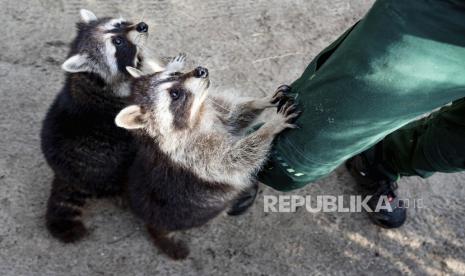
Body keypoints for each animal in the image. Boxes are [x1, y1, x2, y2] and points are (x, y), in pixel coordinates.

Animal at [40, 8, 163, 243]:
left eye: (121, 24)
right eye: (117, 42)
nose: (142, 26)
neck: (91, 79)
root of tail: (66, 176)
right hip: (109, 170)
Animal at [114, 59, 300, 260]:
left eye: (175, 74)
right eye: (175, 94)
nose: (201, 70)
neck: (198, 115)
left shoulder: (216, 111)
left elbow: (236, 116)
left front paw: (262, 101)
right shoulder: (196, 155)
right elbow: (235, 158)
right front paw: (269, 128)